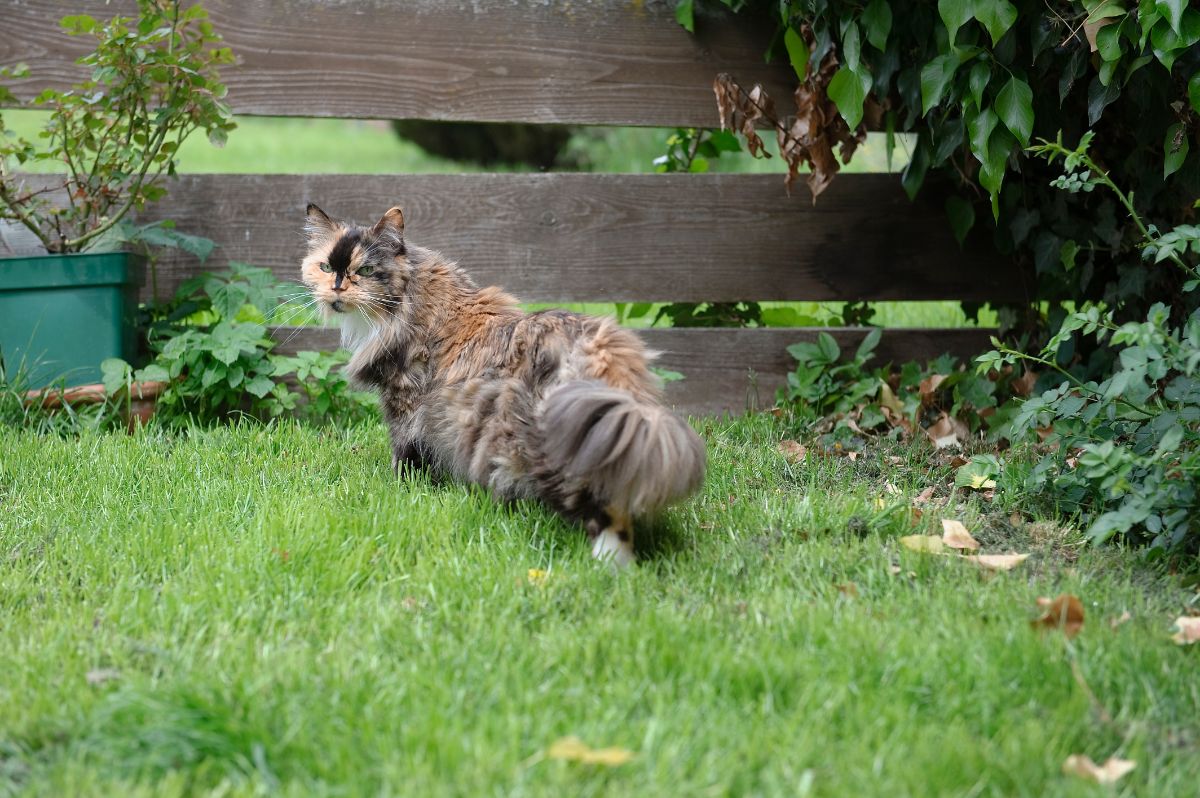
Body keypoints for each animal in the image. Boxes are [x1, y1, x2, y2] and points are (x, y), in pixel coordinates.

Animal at [300, 205, 705, 566]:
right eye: (325, 267)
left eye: (365, 270)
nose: (337, 288)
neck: (411, 298)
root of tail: (599, 347)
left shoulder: (405, 406)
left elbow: (406, 459)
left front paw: (402, 494)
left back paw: (609, 567)